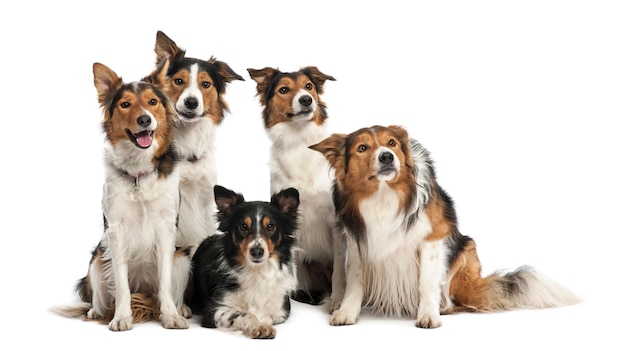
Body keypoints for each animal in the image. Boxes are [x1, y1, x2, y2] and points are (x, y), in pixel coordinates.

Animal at [57, 59, 191, 332]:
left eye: (153, 102)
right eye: (125, 104)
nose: (145, 119)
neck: (139, 171)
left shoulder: (166, 228)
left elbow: (165, 283)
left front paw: (171, 316)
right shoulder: (116, 230)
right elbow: (121, 285)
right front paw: (121, 317)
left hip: (182, 258)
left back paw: (179, 307)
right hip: (97, 260)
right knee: (100, 294)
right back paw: (96, 312)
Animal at [246, 67, 344, 310]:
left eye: (308, 86)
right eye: (284, 90)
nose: (307, 100)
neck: (299, 140)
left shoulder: (335, 221)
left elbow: (339, 271)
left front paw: (338, 302)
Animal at [310, 125, 576, 328]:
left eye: (392, 143)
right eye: (362, 148)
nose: (387, 156)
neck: (383, 196)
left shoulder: (432, 239)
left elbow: (427, 283)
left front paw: (428, 316)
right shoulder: (357, 242)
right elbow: (354, 282)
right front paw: (346, 312)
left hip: (466, 252)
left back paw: (443, 307)